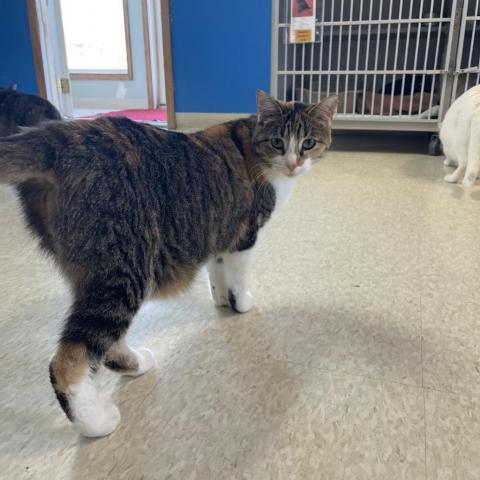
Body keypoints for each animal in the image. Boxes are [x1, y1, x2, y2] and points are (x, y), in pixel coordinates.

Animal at [0, 89, 338, 436]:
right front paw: (241, 303)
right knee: (68, 359)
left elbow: (217, 272)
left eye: (308, 142)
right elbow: (240, 277)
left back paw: (137, 364)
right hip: (124, 267)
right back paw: (97, 422)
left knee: (104, 343)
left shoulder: (218, 231)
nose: (294, 163)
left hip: (91, 270)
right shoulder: (245, 236)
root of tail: (59, 135)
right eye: (277, 142)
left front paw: (221, 299)